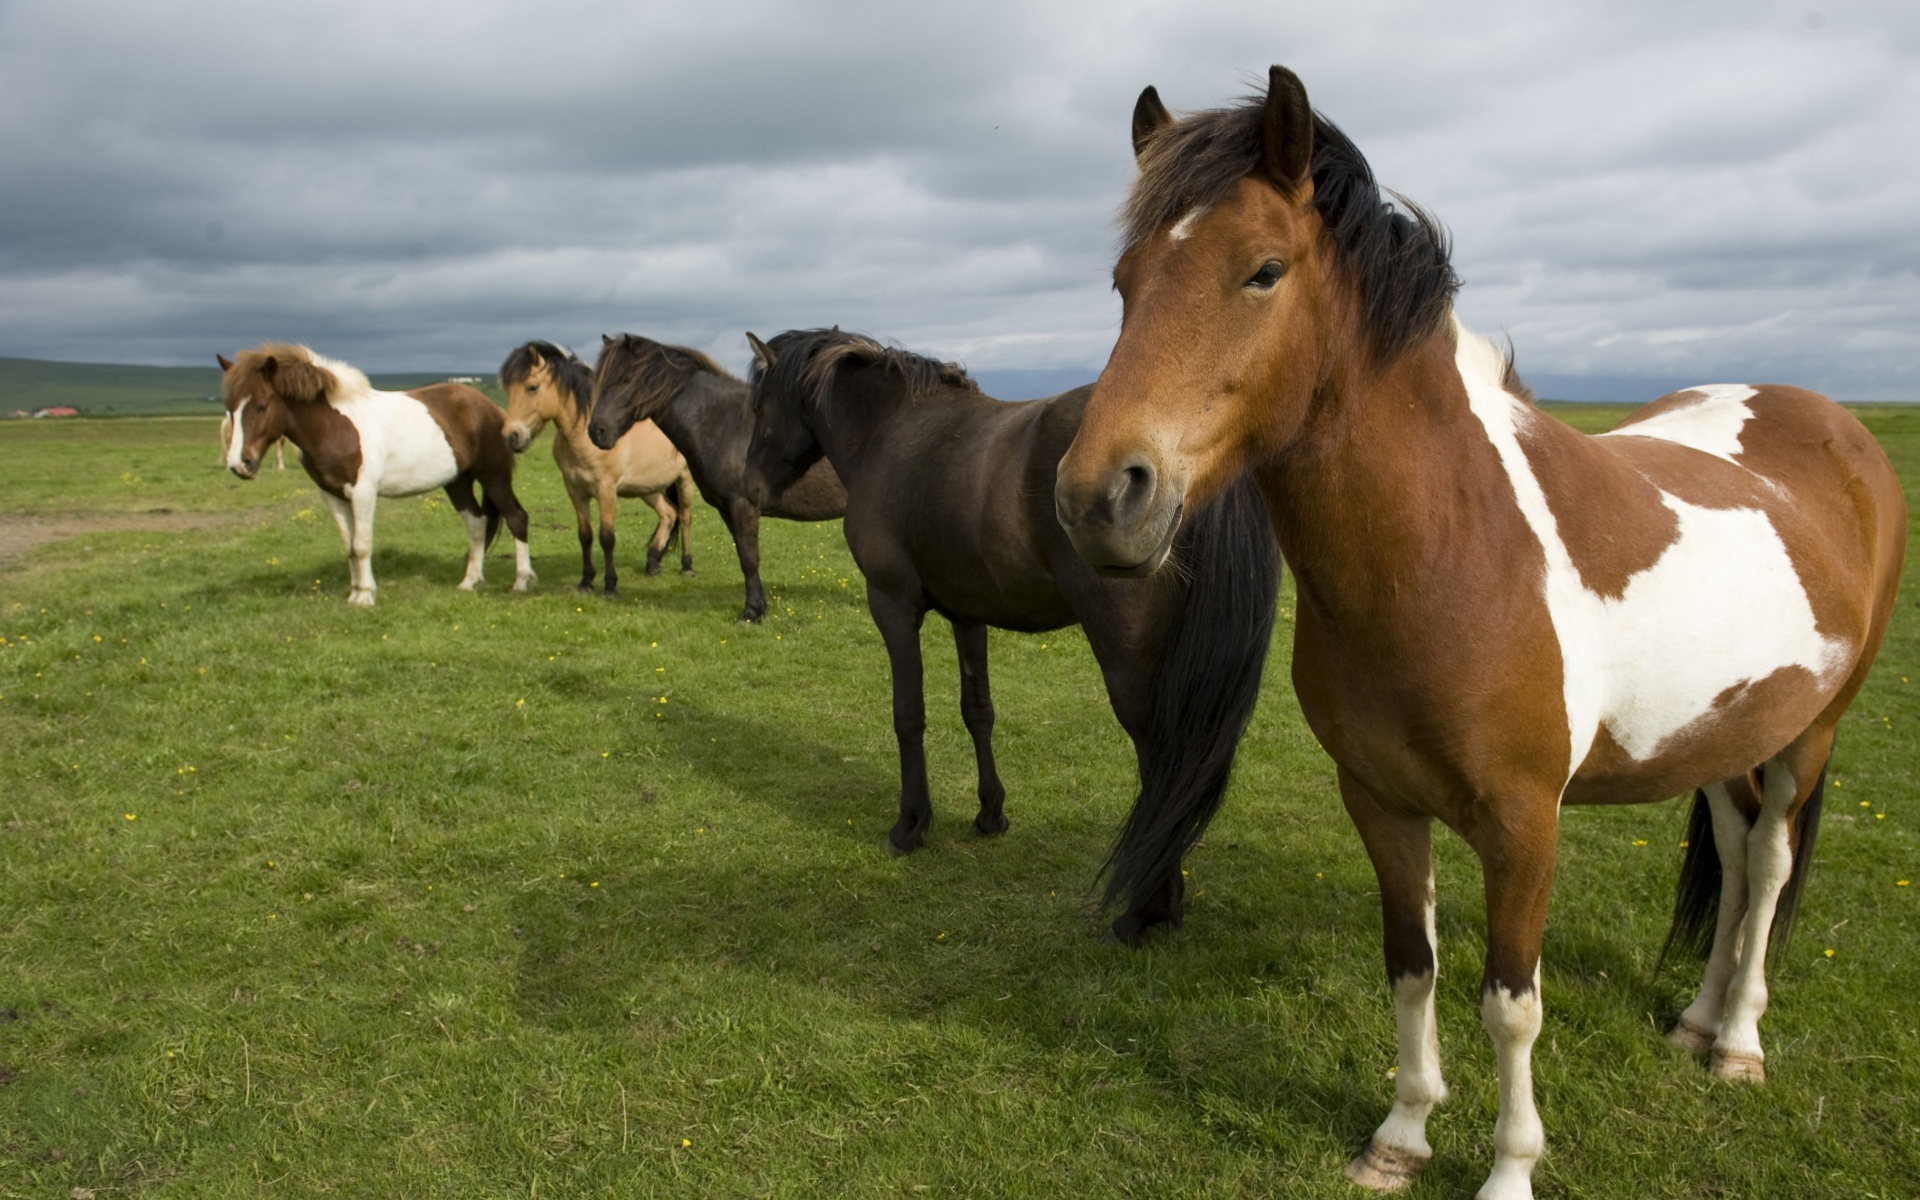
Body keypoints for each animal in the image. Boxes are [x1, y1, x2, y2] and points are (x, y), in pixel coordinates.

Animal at [221, 343, 536, 606]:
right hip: (458, 482)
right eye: (230, 408)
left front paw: (366, 596)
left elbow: (361, 544)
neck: (333, 427)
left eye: (262, 406)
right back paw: (470, 581)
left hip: (493, 476)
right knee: (477, 523)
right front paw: (355, 593)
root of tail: (491, 408)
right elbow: (349, 546)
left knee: (516, 517)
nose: (240, 464)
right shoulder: (332, 495)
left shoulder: (363, 491)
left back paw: (522, 581)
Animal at [499, 341, 696, 593]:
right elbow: (585, 536)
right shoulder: (575, 491)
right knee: (668, 513)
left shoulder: (606, 490)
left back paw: (687, 565)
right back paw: (653, 563)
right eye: (508, 390)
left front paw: (610, 585)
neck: (584, 436)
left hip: (684, 480)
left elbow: (607, 537)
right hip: (648, 488)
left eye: (532, 387)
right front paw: (585, 582)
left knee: (684, 517)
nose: (511, 437)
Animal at [586, 334, 847, 622]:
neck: (722, 423)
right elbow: (744, 557)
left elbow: (750, 558)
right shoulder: (726, 509)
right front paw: (758, 606)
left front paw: (751, 612)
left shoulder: (743, 506)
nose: (597, 431)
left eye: (625, 379)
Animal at [741, 328, 1279, 943]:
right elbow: (978, 711)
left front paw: (910, 824)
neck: (891, 431)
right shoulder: (967, 614)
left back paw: (1146, 912)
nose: (748, 487)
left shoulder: (892, 604)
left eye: (756, 408)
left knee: (1161, 760)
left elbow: (908, 715)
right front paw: (990, 813)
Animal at [1052, 68, 1905, 1200]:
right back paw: (1695, 1019)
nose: (1101, 498)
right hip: (1729, 732)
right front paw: (1401, 1136)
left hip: (1813, 730)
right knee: (1731, 849)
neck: (1452, 552)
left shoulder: (1523, 823)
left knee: (1765, 866)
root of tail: (1832, 424)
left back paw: (1738, 1043)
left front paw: (1509, 1168)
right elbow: (1412, 968)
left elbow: (1511, 1003)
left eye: (1263, 271)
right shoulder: (1379, 803)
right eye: (1124, 281)